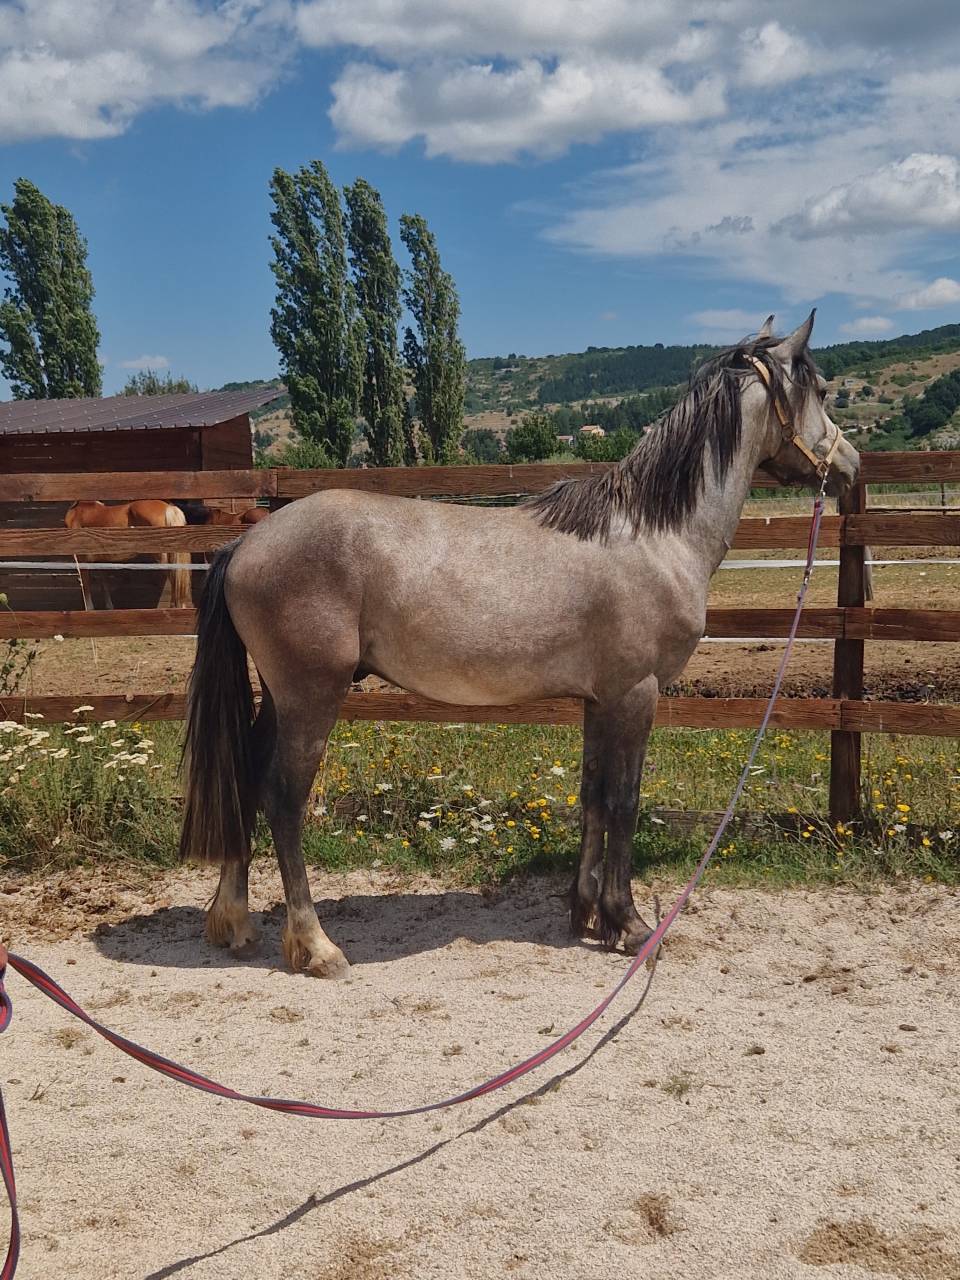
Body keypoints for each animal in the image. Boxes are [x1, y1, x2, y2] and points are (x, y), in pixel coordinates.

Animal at [178, 313, 860, 978]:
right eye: (824, 391)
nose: (852, 465)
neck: (653, 535)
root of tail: (246, 543)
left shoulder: (599, 700)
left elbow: (592, 797)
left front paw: (585, 913)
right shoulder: (635, 695)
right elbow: (624, 802)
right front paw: (630, 924)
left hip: (281, 697)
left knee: (244, 779)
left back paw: (234, 922)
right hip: (311, 698)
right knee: (282, 799)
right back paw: (316, 946)